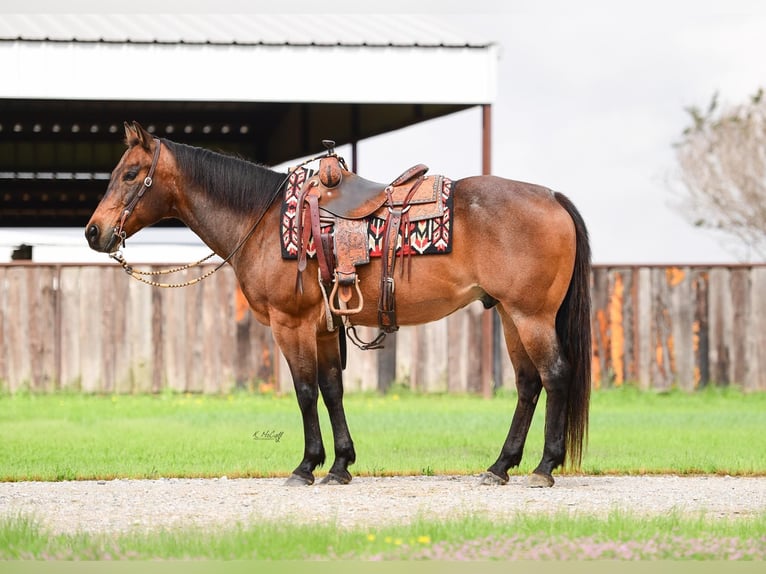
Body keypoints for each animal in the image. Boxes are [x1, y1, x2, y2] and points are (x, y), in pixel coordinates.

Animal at [87, 121, 596, 490]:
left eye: (130, 174)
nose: (94, 231)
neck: (265, 221)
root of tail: (551, 196)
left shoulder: (291, 325)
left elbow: (305, 392)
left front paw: (306, 466)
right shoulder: (325, 327)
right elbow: (332, 390)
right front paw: (340, 465)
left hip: (531, 316)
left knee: (554, 375)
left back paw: (544, 467)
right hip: (511, 315)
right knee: (528, 384)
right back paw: (500, 466)